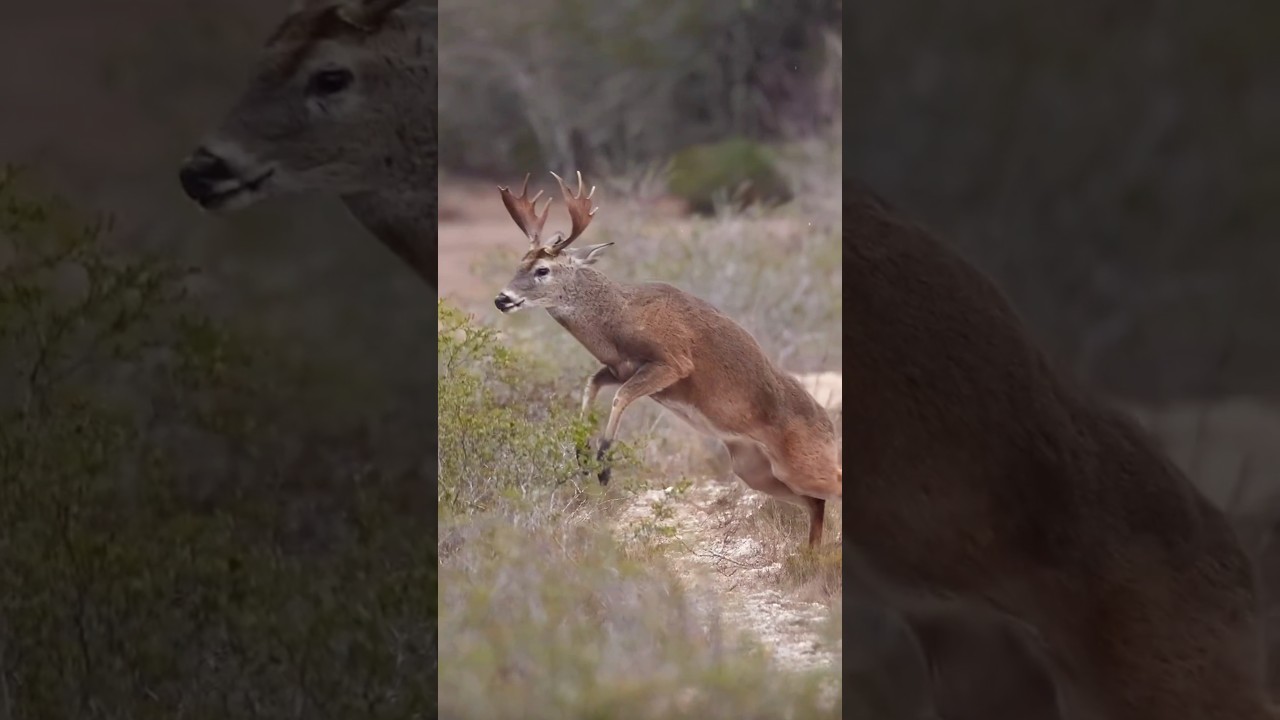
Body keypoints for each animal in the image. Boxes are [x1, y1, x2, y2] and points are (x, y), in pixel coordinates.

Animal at [492, 171, 843, 548]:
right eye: (519, 264)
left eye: (542, 270)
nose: (502, 298)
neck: (620, 319)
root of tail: (828, 424)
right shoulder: (619, 367)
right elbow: (591, 386)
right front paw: (582, 454)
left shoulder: (673, 362)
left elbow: (621, 397)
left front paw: (604, 464)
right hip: (757, 470)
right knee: (815, 502)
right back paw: (811, 553)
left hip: (803, 461)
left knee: (832, 484)